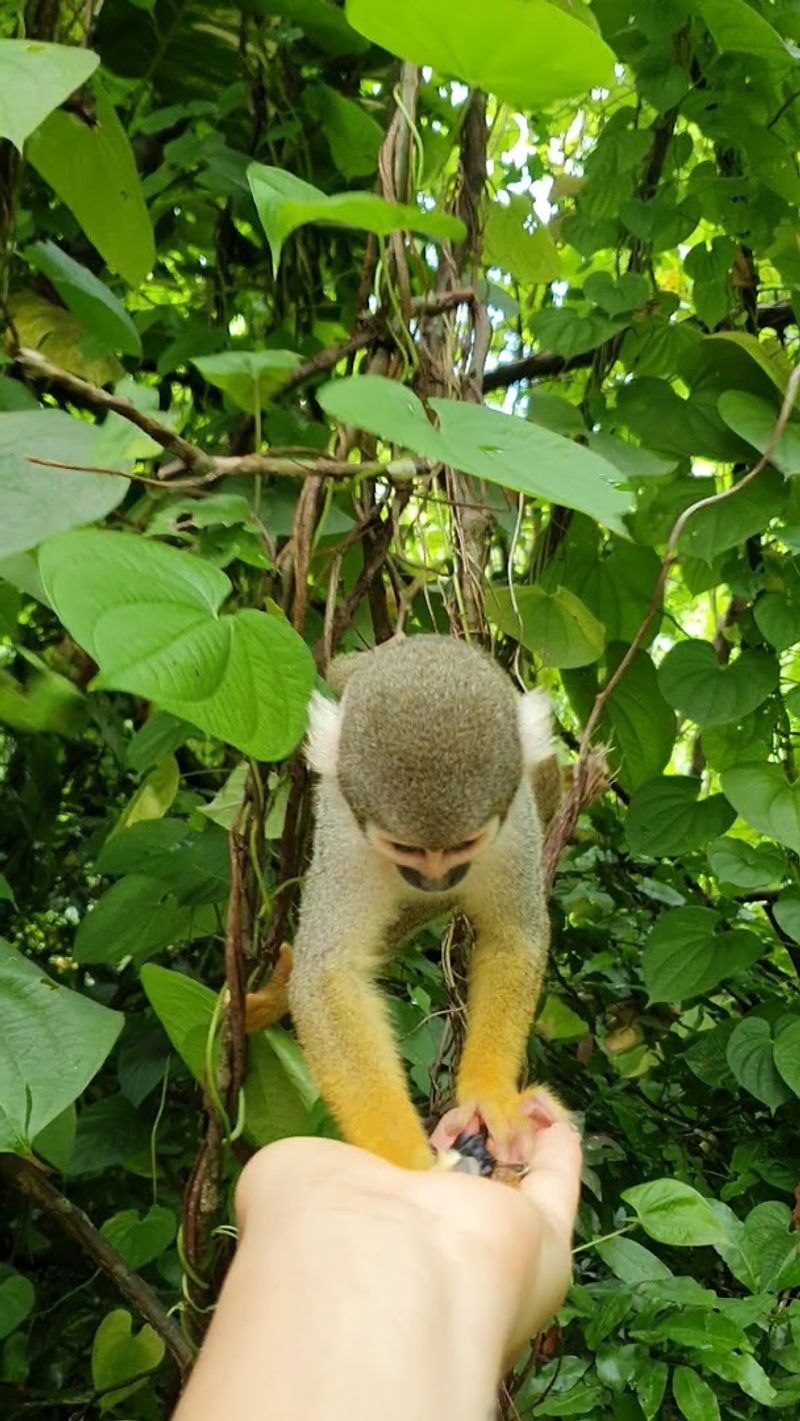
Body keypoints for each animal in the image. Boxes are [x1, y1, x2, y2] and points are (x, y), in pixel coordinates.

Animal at [246, 635, 565, 1170]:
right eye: (405, 848)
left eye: (463, 845)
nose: (435, 879)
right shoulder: (346, 831)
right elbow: (328, 974)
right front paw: (410, 1165)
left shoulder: (514, 822)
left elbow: (514, 936)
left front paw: (490, 1096)